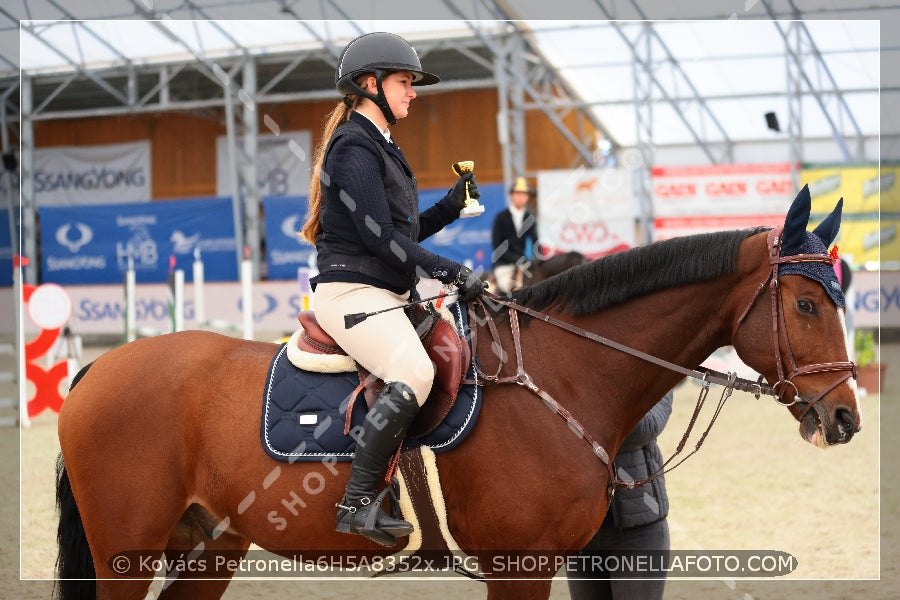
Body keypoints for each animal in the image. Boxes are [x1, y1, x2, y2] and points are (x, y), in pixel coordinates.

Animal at [54, 189, 856, 600]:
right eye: (807, 306)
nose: (845, 415)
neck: (561, 373)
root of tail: (100, 369)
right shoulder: (518, 565)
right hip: (126, 551)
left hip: (206, 549)